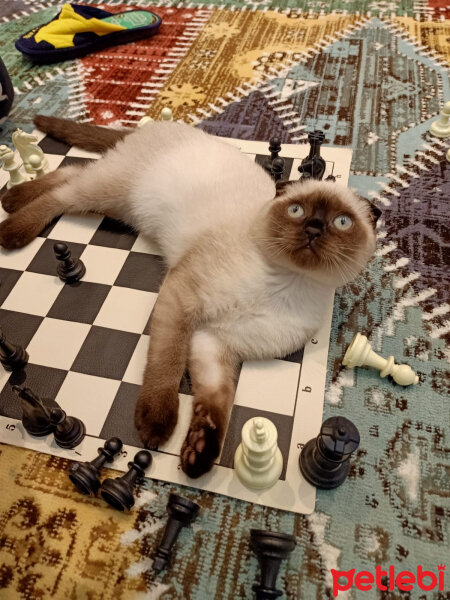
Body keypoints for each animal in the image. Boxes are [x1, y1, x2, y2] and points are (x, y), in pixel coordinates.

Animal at [0, 117, 382, 480]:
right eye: (297, 211)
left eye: (342, 222)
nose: (314, 229)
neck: (287, 283)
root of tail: (152, 126)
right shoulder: (181, 298)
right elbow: (166, 364)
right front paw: (156, 427)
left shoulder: (215, 343)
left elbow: (217, 405)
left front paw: (198, 456)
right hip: (110, 192)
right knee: (65, 190)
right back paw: (12, 223)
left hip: (119, 204)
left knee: (71, 172)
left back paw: (12, 199)